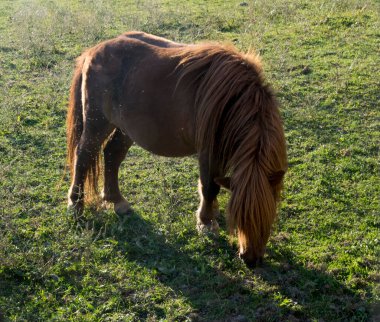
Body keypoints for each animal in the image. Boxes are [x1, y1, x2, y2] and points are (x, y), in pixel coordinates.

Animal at [67, 30, 286, 266]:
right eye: (238, 216)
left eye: (269, 213)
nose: (251, 259)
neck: (231, 101)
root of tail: (92, 52)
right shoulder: (208, 151)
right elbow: (209, 186)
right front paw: (205, 223)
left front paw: (212, 213)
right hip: (97, 123)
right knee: (84, 156)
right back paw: (76, 205)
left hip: (124, 129)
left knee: (112, 155)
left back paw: (117, 201)